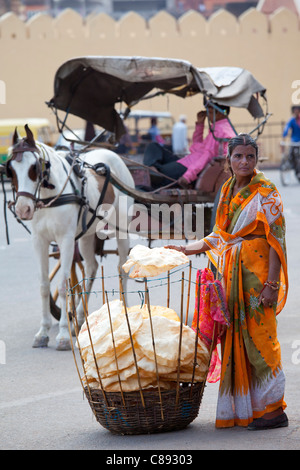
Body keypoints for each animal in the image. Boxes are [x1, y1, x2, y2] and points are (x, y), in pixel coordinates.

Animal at [7, 125, 135, 348]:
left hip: (122, 229)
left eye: (34, 168)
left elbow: (63, 284)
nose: (23, 209)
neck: (50, 197)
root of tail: (113, 155)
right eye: (11, 169)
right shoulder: (39, 241)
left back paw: (123, 309)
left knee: (122, 267)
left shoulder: (65, 240)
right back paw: (81, 317)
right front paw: (43, 332)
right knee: (91, 267)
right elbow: (44, 284)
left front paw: (63, 335)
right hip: (85, 237)